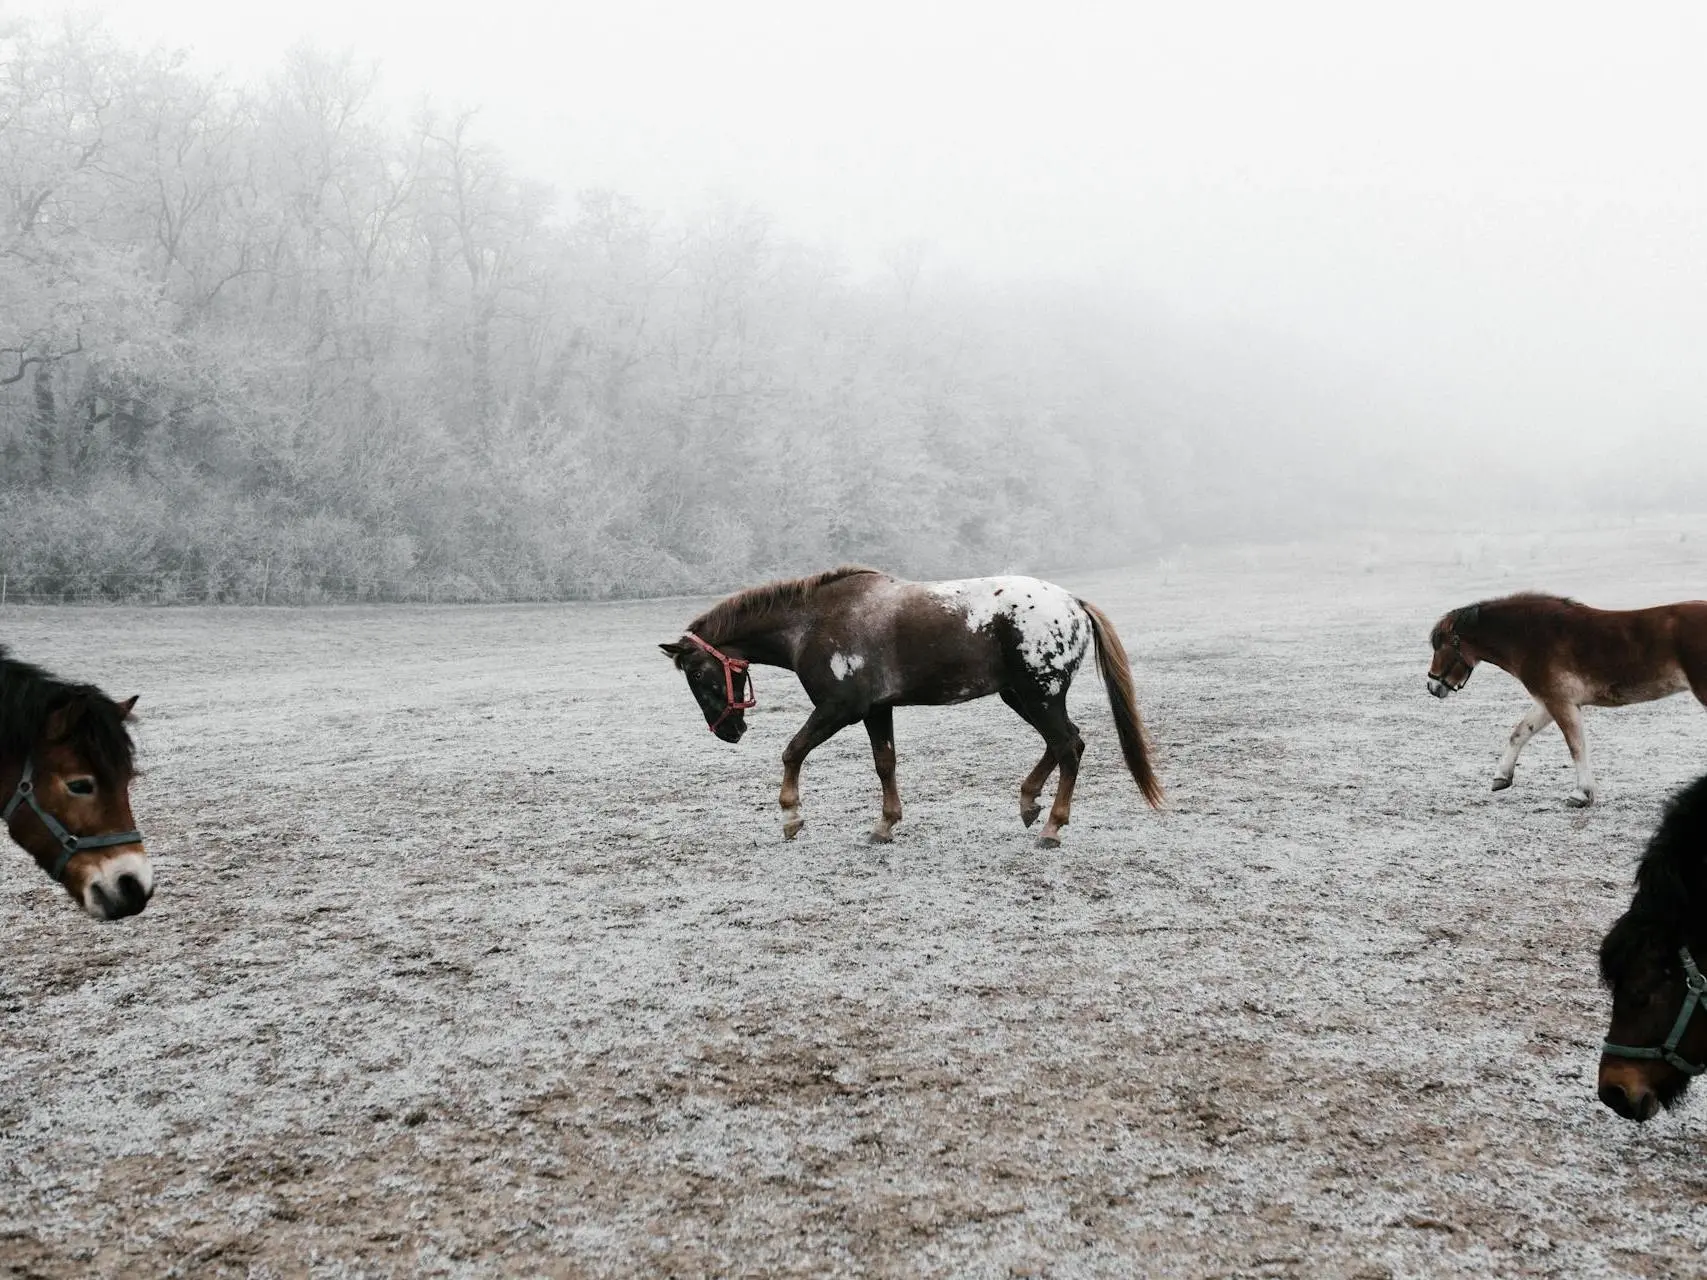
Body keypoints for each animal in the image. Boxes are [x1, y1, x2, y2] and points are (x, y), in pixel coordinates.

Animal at [658, 566, 1167, 846]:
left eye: (698, 675)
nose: (729, 732)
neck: (814, 621)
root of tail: (1073, 603)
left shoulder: (839, 709)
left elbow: (792, 751)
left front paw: (791, 816)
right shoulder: (876, 710)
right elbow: (885, 763)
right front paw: (885, 824)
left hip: (1039, 696)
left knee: (1067, 747)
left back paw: (1052, 827)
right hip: (1022, 696)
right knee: (1065, 744)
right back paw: (1029, 803)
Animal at [1420, 593, 1707, 812]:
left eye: (1440, 646)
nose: (1433, 687)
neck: (1532, 637)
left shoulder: (1559, 702)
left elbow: (1576, 746)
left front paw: (1581, 794)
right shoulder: (1548, 702)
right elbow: (1520, 733)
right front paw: (1501, 777)